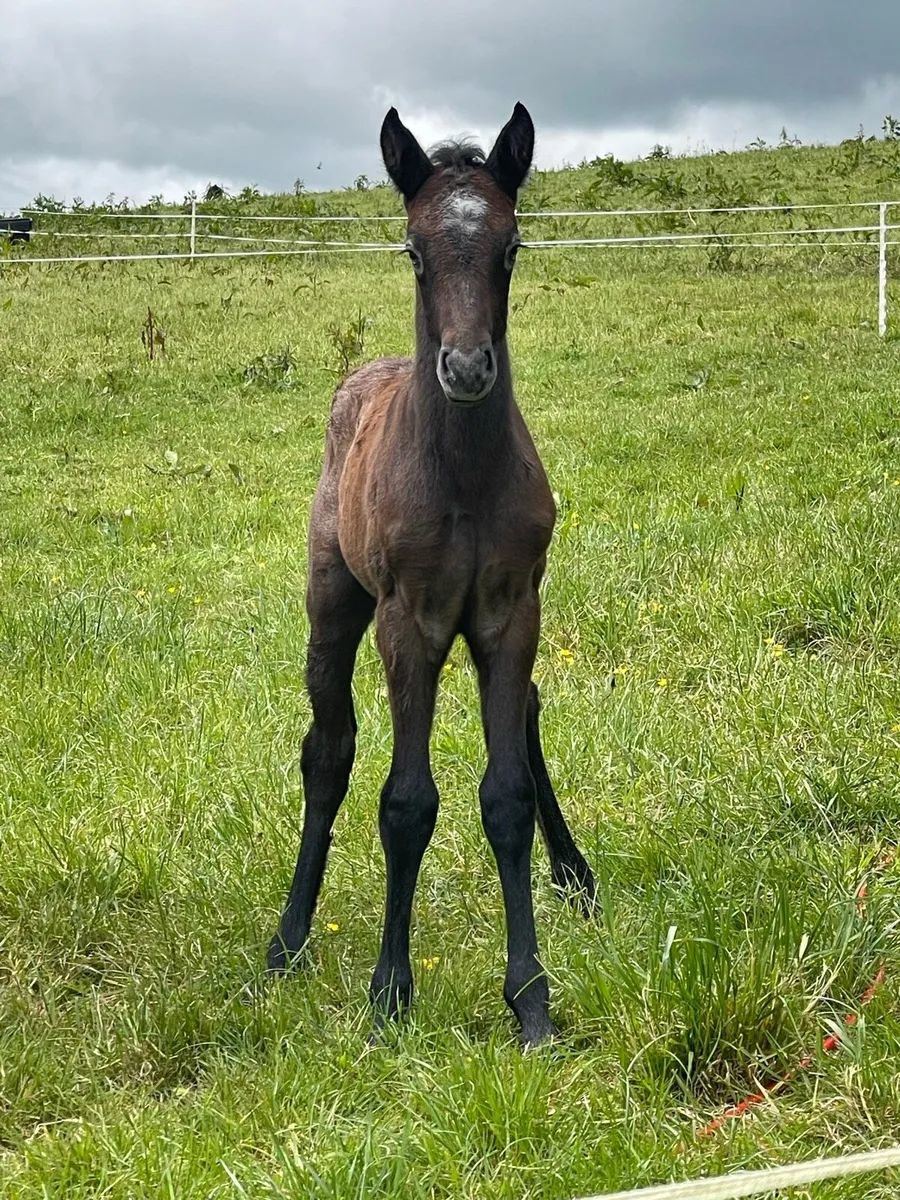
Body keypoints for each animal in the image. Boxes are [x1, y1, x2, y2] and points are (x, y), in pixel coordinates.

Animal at [268, 103, 595, 1046]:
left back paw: (575, 869)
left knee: (528, 713)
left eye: (511, 247)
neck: (463, 479)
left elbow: (506, 793)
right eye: (414, 250)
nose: (468, 368)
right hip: (334, 609)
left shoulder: (510, 613)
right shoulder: (407, 622)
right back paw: (288, 936)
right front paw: (389, 993)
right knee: (328, 751)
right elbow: (406, 802)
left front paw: (531, 999)